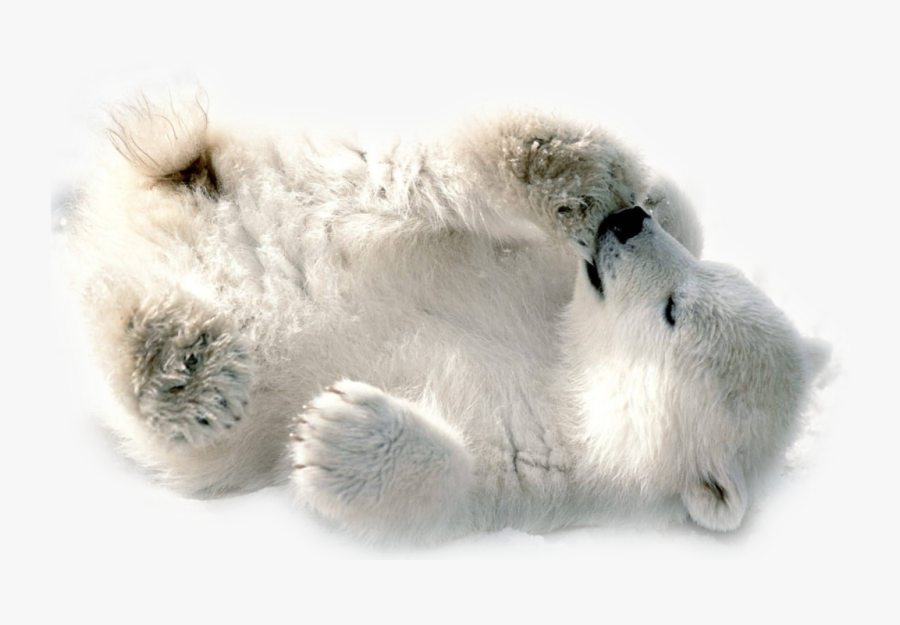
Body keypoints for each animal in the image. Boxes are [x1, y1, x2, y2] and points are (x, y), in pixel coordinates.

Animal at [65, 90, 828, 544]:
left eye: (674, 312)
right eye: (708, 278)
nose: (626, 224)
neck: (565, 367)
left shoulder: (544, 476)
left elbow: (442, 494)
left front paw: (337, 431)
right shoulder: (542, 280)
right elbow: (666, 216)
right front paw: (637, 194)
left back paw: (181, 364)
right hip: (319, 180)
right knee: (412, 178)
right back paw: (558, 163)